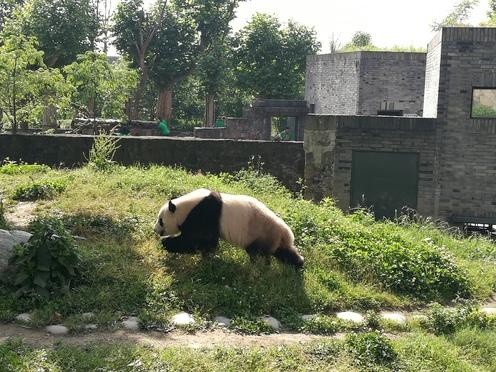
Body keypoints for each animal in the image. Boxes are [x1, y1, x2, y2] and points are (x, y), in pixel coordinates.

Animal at [153, 189, 304, 268]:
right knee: (284, 252)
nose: (155, 230)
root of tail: (285, 232)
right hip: (273, 238)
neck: (186, 207)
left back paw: (258, 265)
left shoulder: (204, 214)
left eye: (161, 221)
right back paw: (298, 265)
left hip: (261, 233)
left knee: (258, 252)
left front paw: (166, 242)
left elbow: (196, 240)